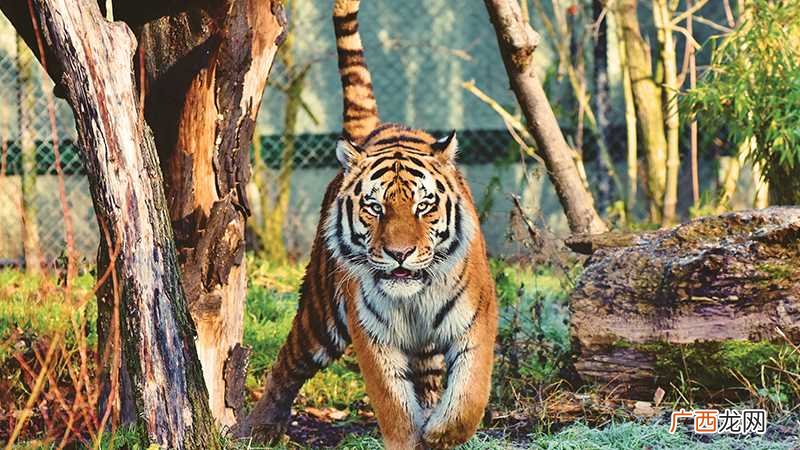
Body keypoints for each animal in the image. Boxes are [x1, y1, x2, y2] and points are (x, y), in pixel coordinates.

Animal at [240, 1, 498, 448]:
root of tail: (377, 128)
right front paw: (411, 435)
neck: (414, 300)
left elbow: (468, 398)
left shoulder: (477, 321)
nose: (400, 254)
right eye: (374, 208)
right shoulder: (372, 335)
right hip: (320, 314)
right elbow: (394, 406)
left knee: (430, 380)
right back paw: (260, 427)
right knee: (288, 364)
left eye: (424, 205)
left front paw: (439, 432)